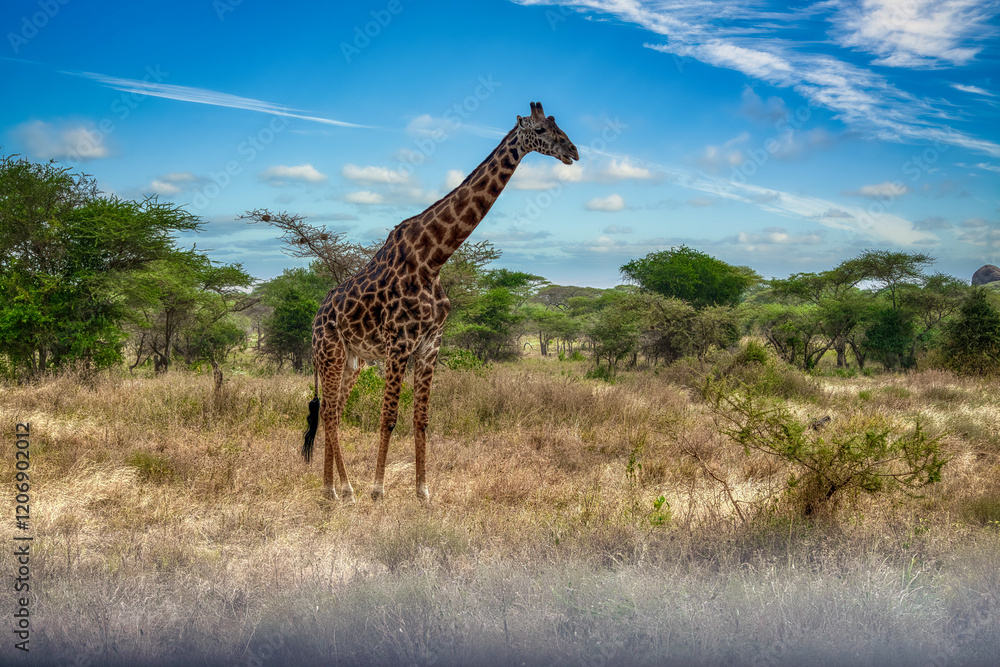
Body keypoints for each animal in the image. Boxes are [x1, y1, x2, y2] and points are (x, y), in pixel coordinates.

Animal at [303, 101, 579, 502]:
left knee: (334, 410)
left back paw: (338, 489)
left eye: (557, 126)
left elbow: (421, 419)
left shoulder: (430, 344)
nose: (573, 151)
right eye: (540, 130)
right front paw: (378, 490)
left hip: (354, 359)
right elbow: (389, 417)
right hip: (331, 352)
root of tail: (317, 318)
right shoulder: (399, 343)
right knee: (327, 412)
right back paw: (341, 489)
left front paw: (422, 491)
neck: (433, 259)